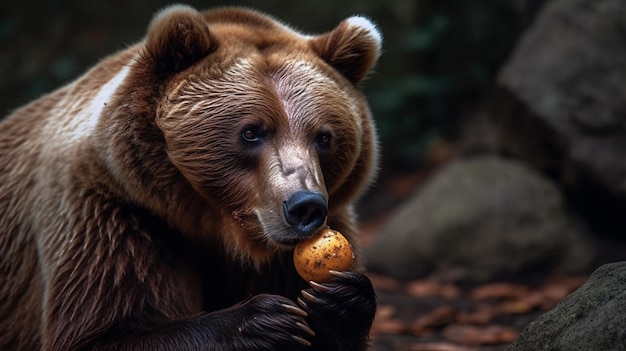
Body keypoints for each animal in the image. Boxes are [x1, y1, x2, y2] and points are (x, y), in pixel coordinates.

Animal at [0, 5, 380, 351]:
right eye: (251, 132)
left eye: (324, 137)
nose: (305, 206)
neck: (217, 228)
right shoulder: (112, 214)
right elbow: (103, 332)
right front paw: (262, 321)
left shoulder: (303, 240)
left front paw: (343, 301)